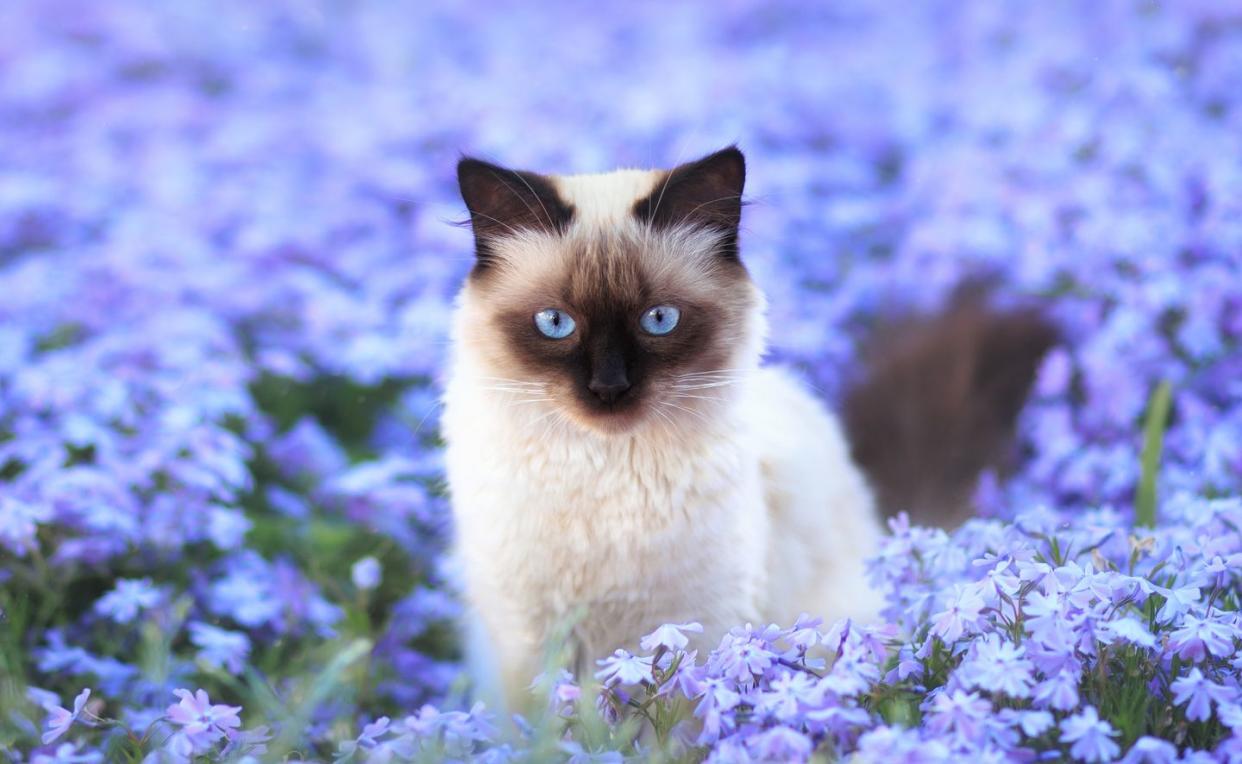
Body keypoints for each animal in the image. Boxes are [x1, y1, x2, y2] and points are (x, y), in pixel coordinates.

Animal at [442, 147, 1053, 710]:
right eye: (555, 324)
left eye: (659, 321)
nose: (609, 389)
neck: (604, 475)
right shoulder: (529, 643)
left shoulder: (691, 629)